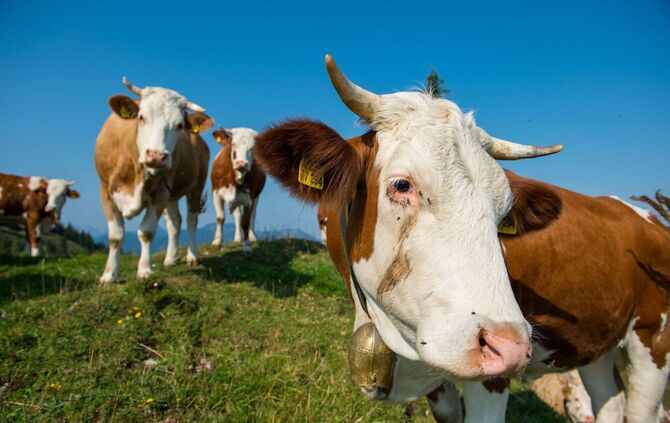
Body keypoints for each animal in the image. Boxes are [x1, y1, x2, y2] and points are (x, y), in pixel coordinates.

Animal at [94, 78, 212, 284]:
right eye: (141, 117)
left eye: (179, 125)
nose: (157, 156)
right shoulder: (105, 190)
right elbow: (115, 236)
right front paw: (109, 275)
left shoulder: (160, 193)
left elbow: (146, 232)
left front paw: (144, 270)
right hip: (172, 193)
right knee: (175, 222)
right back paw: (170, 258)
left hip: (196, 185)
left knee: (191, 219)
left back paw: (192, 256)